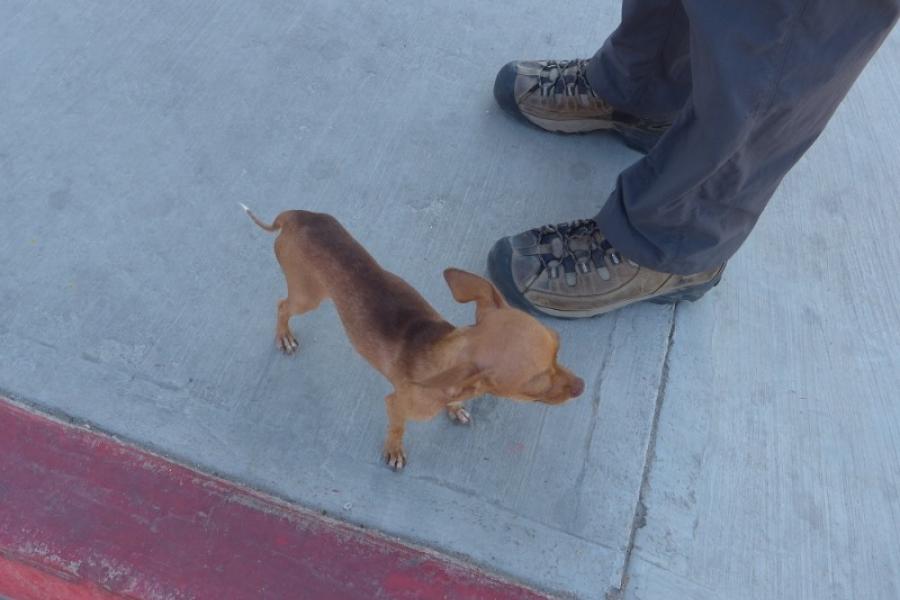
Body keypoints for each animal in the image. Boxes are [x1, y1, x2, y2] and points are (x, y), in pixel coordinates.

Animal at [243, 209, 588, 472]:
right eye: (536, 381)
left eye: (558, 347)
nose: (581, 386)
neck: (441, 352)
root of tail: (294, 217)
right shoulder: (395, 404)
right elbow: (397, 428)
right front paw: (394, 451)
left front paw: (456, 409)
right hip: (308, 295)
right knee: (282, 306)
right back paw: (284, 337)